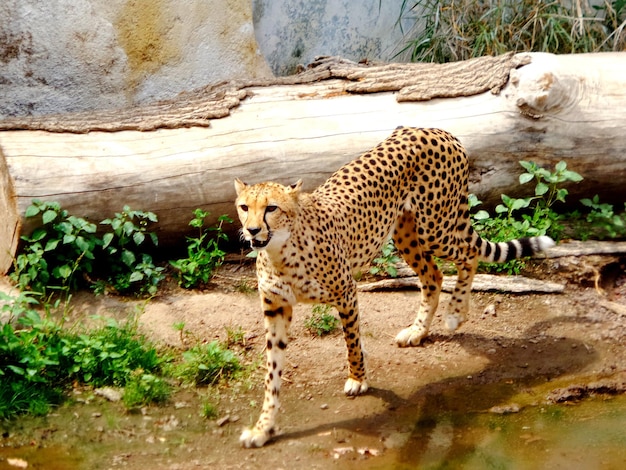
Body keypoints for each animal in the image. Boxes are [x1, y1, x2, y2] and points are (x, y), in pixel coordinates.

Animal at [233, 126, 552, 448]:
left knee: (469, 254)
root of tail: (434, 129)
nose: (252, 230)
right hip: (405, 232)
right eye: (244, 207)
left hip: (435, 227)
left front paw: (358, 379)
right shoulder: (275, 308)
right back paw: (418, 331)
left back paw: (455, 313)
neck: (280, 252)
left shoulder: (346, 293)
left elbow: (352, 341)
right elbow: (272, 373)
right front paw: (263, 428)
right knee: (434, 275)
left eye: (271, 208)